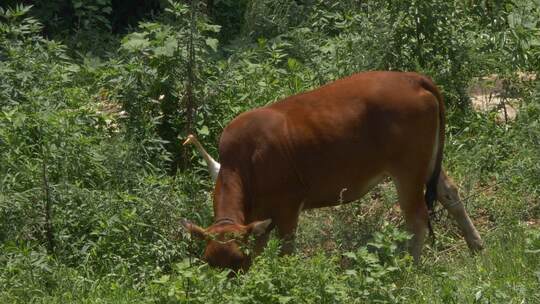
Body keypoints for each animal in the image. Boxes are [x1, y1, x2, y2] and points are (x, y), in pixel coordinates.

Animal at [182, 71, 486, 270]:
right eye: (209, 261)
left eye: (237, 260)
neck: (245, 161)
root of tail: (411, 78)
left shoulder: (287, 209)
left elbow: (286, 251)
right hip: (428, 162)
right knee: (450, 194)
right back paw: (476, 246)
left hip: (408, 171)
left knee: (417, 219)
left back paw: (410, 268)